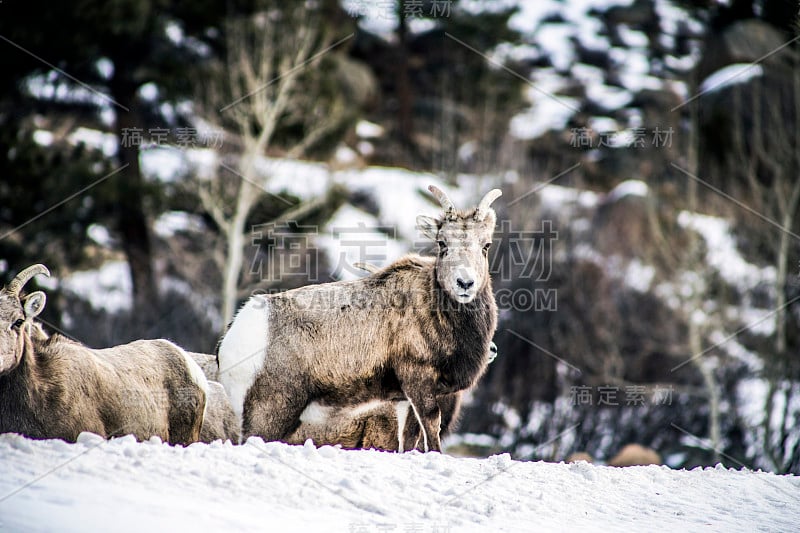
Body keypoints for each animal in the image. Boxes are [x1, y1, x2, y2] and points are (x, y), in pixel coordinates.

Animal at [219, 185, 500, 450]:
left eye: (485, 245)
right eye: (443, 244)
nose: (465, 283)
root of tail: (232, 339)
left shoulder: (408, 400)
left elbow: (410, 440)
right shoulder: (419, 381)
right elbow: (432, 432)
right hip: (270, 413)